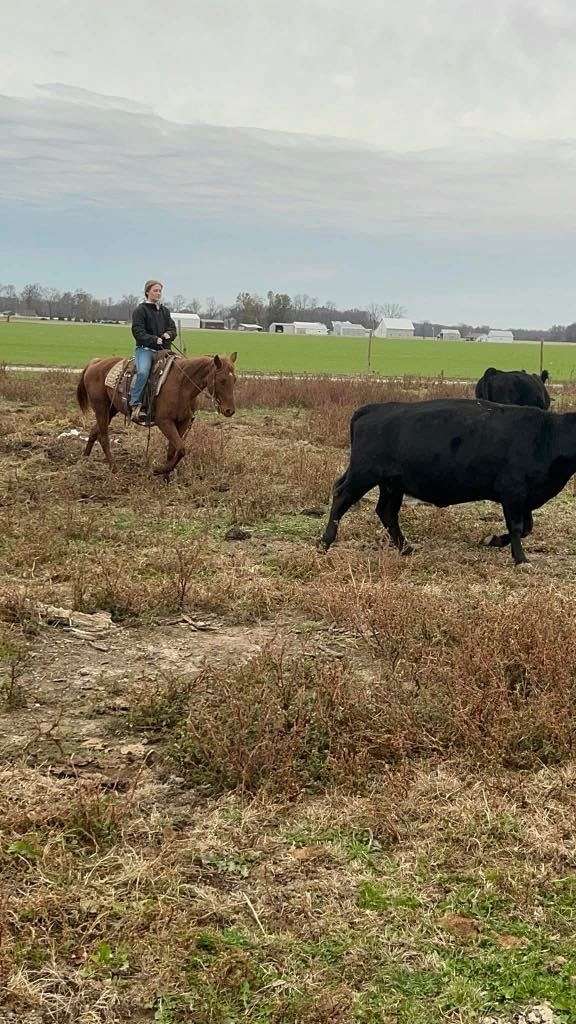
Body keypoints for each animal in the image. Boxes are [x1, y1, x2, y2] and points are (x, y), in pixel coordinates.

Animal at [76, 352, 235, 479]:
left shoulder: (182, 422)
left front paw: (166, 478)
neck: (181, 385)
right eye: (222, 380)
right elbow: (181, 449)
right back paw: (114, 469)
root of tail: (95, 363)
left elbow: (173, 450)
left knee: (94, 431)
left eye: (234, 380)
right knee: (103, 438)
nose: (230, 410)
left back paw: (84, 460)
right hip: (101, 408)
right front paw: (158, 471)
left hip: (111, 409)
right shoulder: (164, 422)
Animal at [317, 397, 573, 565]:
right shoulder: (513, 492)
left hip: (391, 483)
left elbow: (527, 527)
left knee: (386, 512)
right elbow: (518, 527)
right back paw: (325, 542)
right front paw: (521, 559)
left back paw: (406, 547)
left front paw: (495, 540)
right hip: (363, 474)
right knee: (341, 498)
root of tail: (372, 408)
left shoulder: (525, 497)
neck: (547, 435)